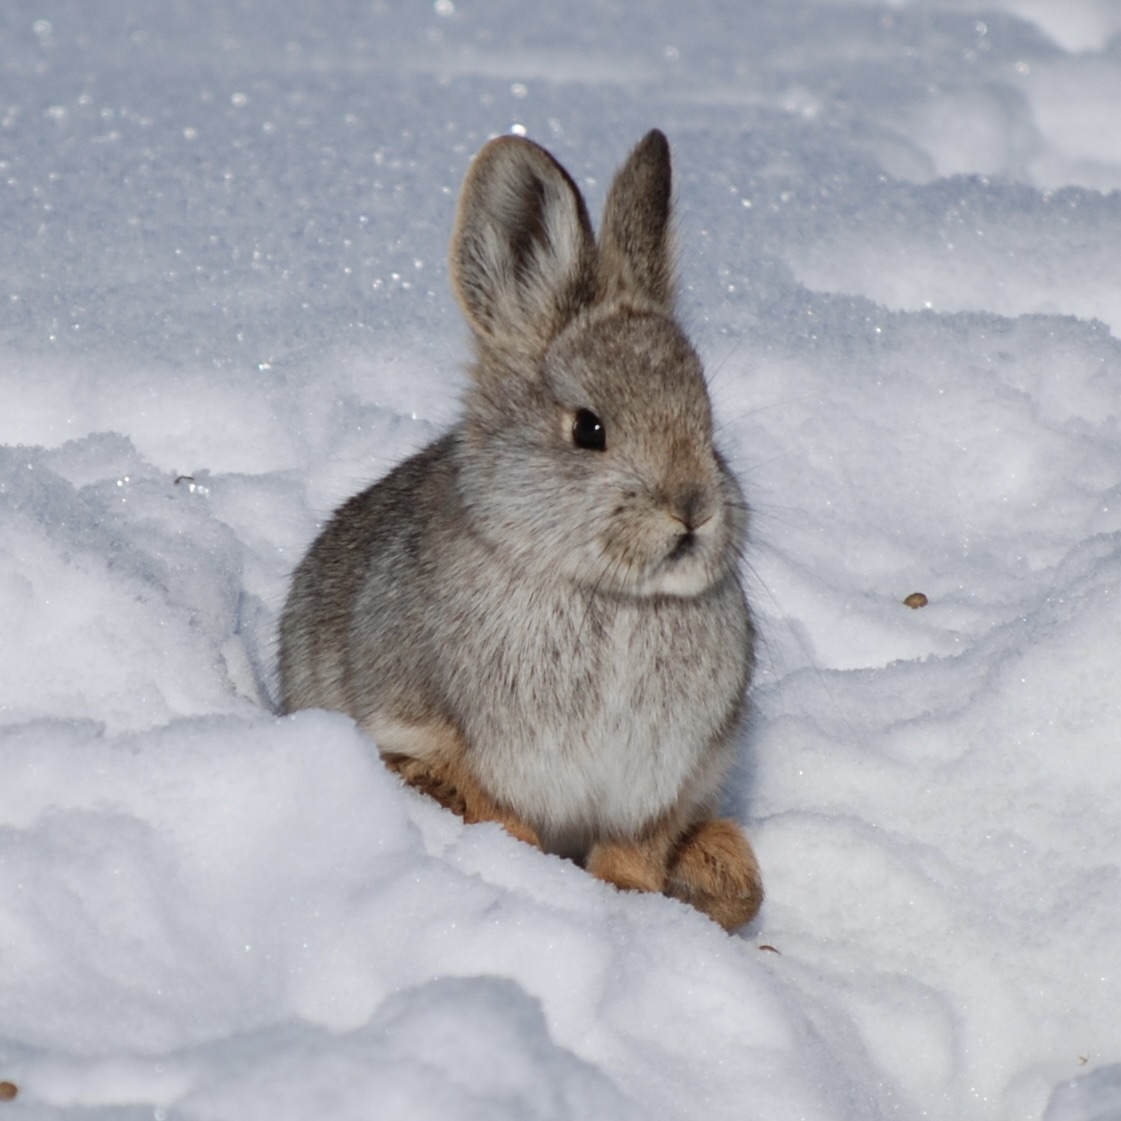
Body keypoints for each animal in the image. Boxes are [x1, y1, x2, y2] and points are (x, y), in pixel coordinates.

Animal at [279, 129, 763, 931]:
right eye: (590, 429)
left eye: (707, 425)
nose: (692, 510)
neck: (605, 593)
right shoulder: (435, 729)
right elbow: (491, 808)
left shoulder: (664, 776)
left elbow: (633, 848)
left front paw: (632, 899)